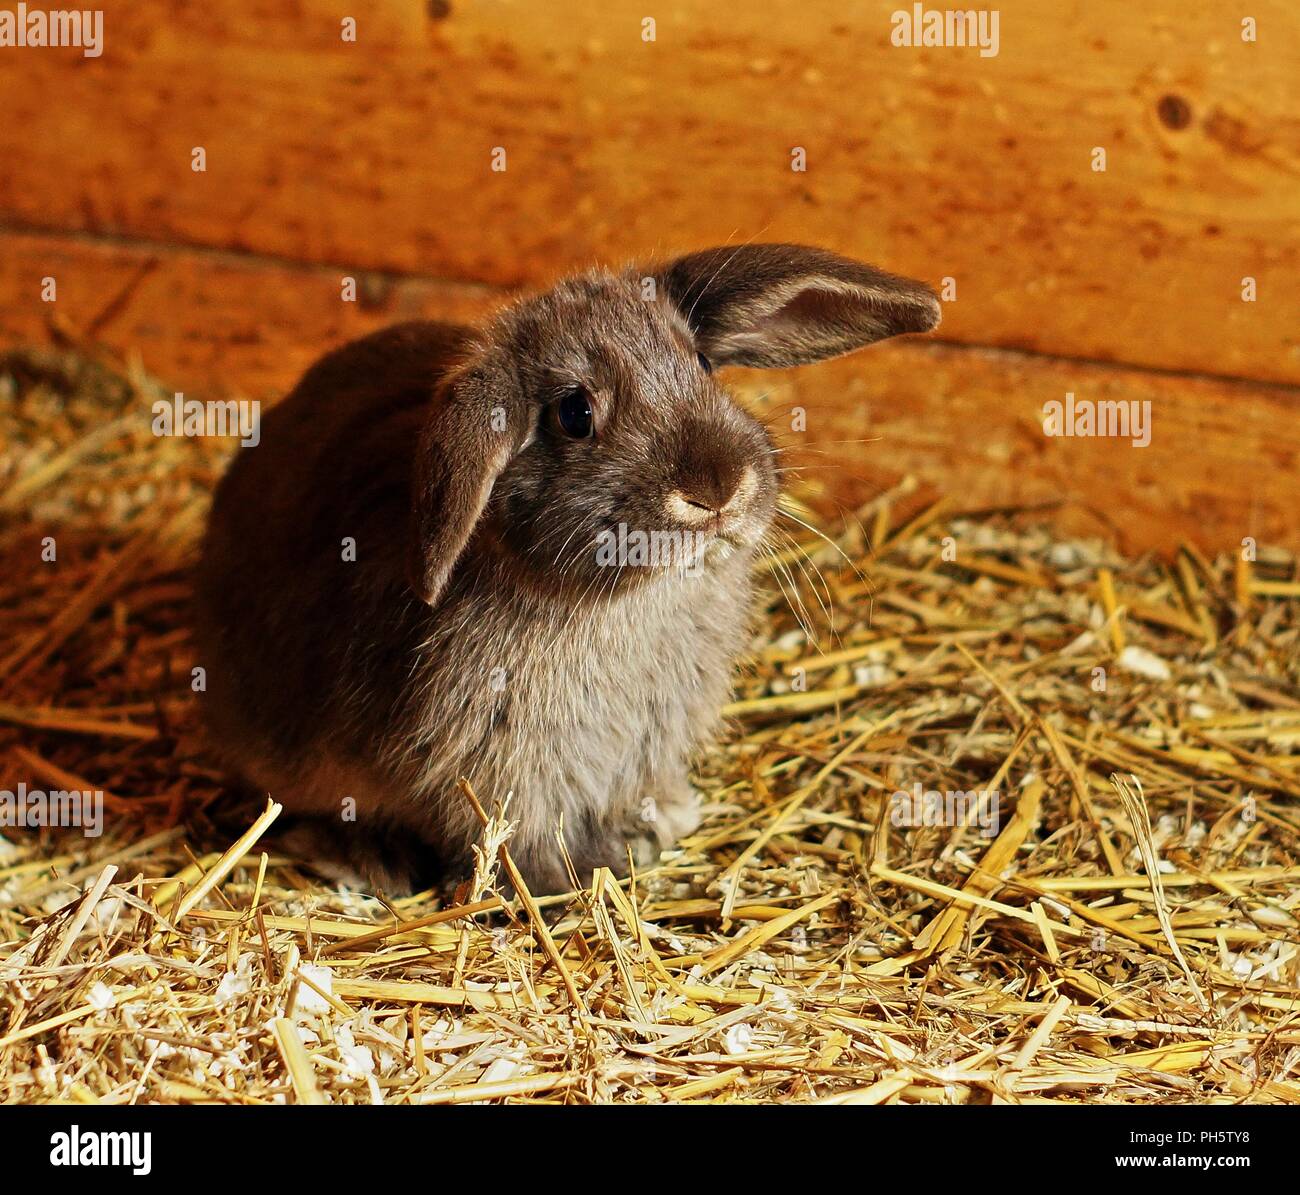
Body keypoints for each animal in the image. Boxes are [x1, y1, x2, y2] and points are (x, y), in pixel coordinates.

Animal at [192, 244, 940, 895]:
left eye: (701, 363)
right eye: (574, 414)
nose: (717, 490)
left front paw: (657, 827)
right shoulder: (499, 759)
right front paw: (569, 879)